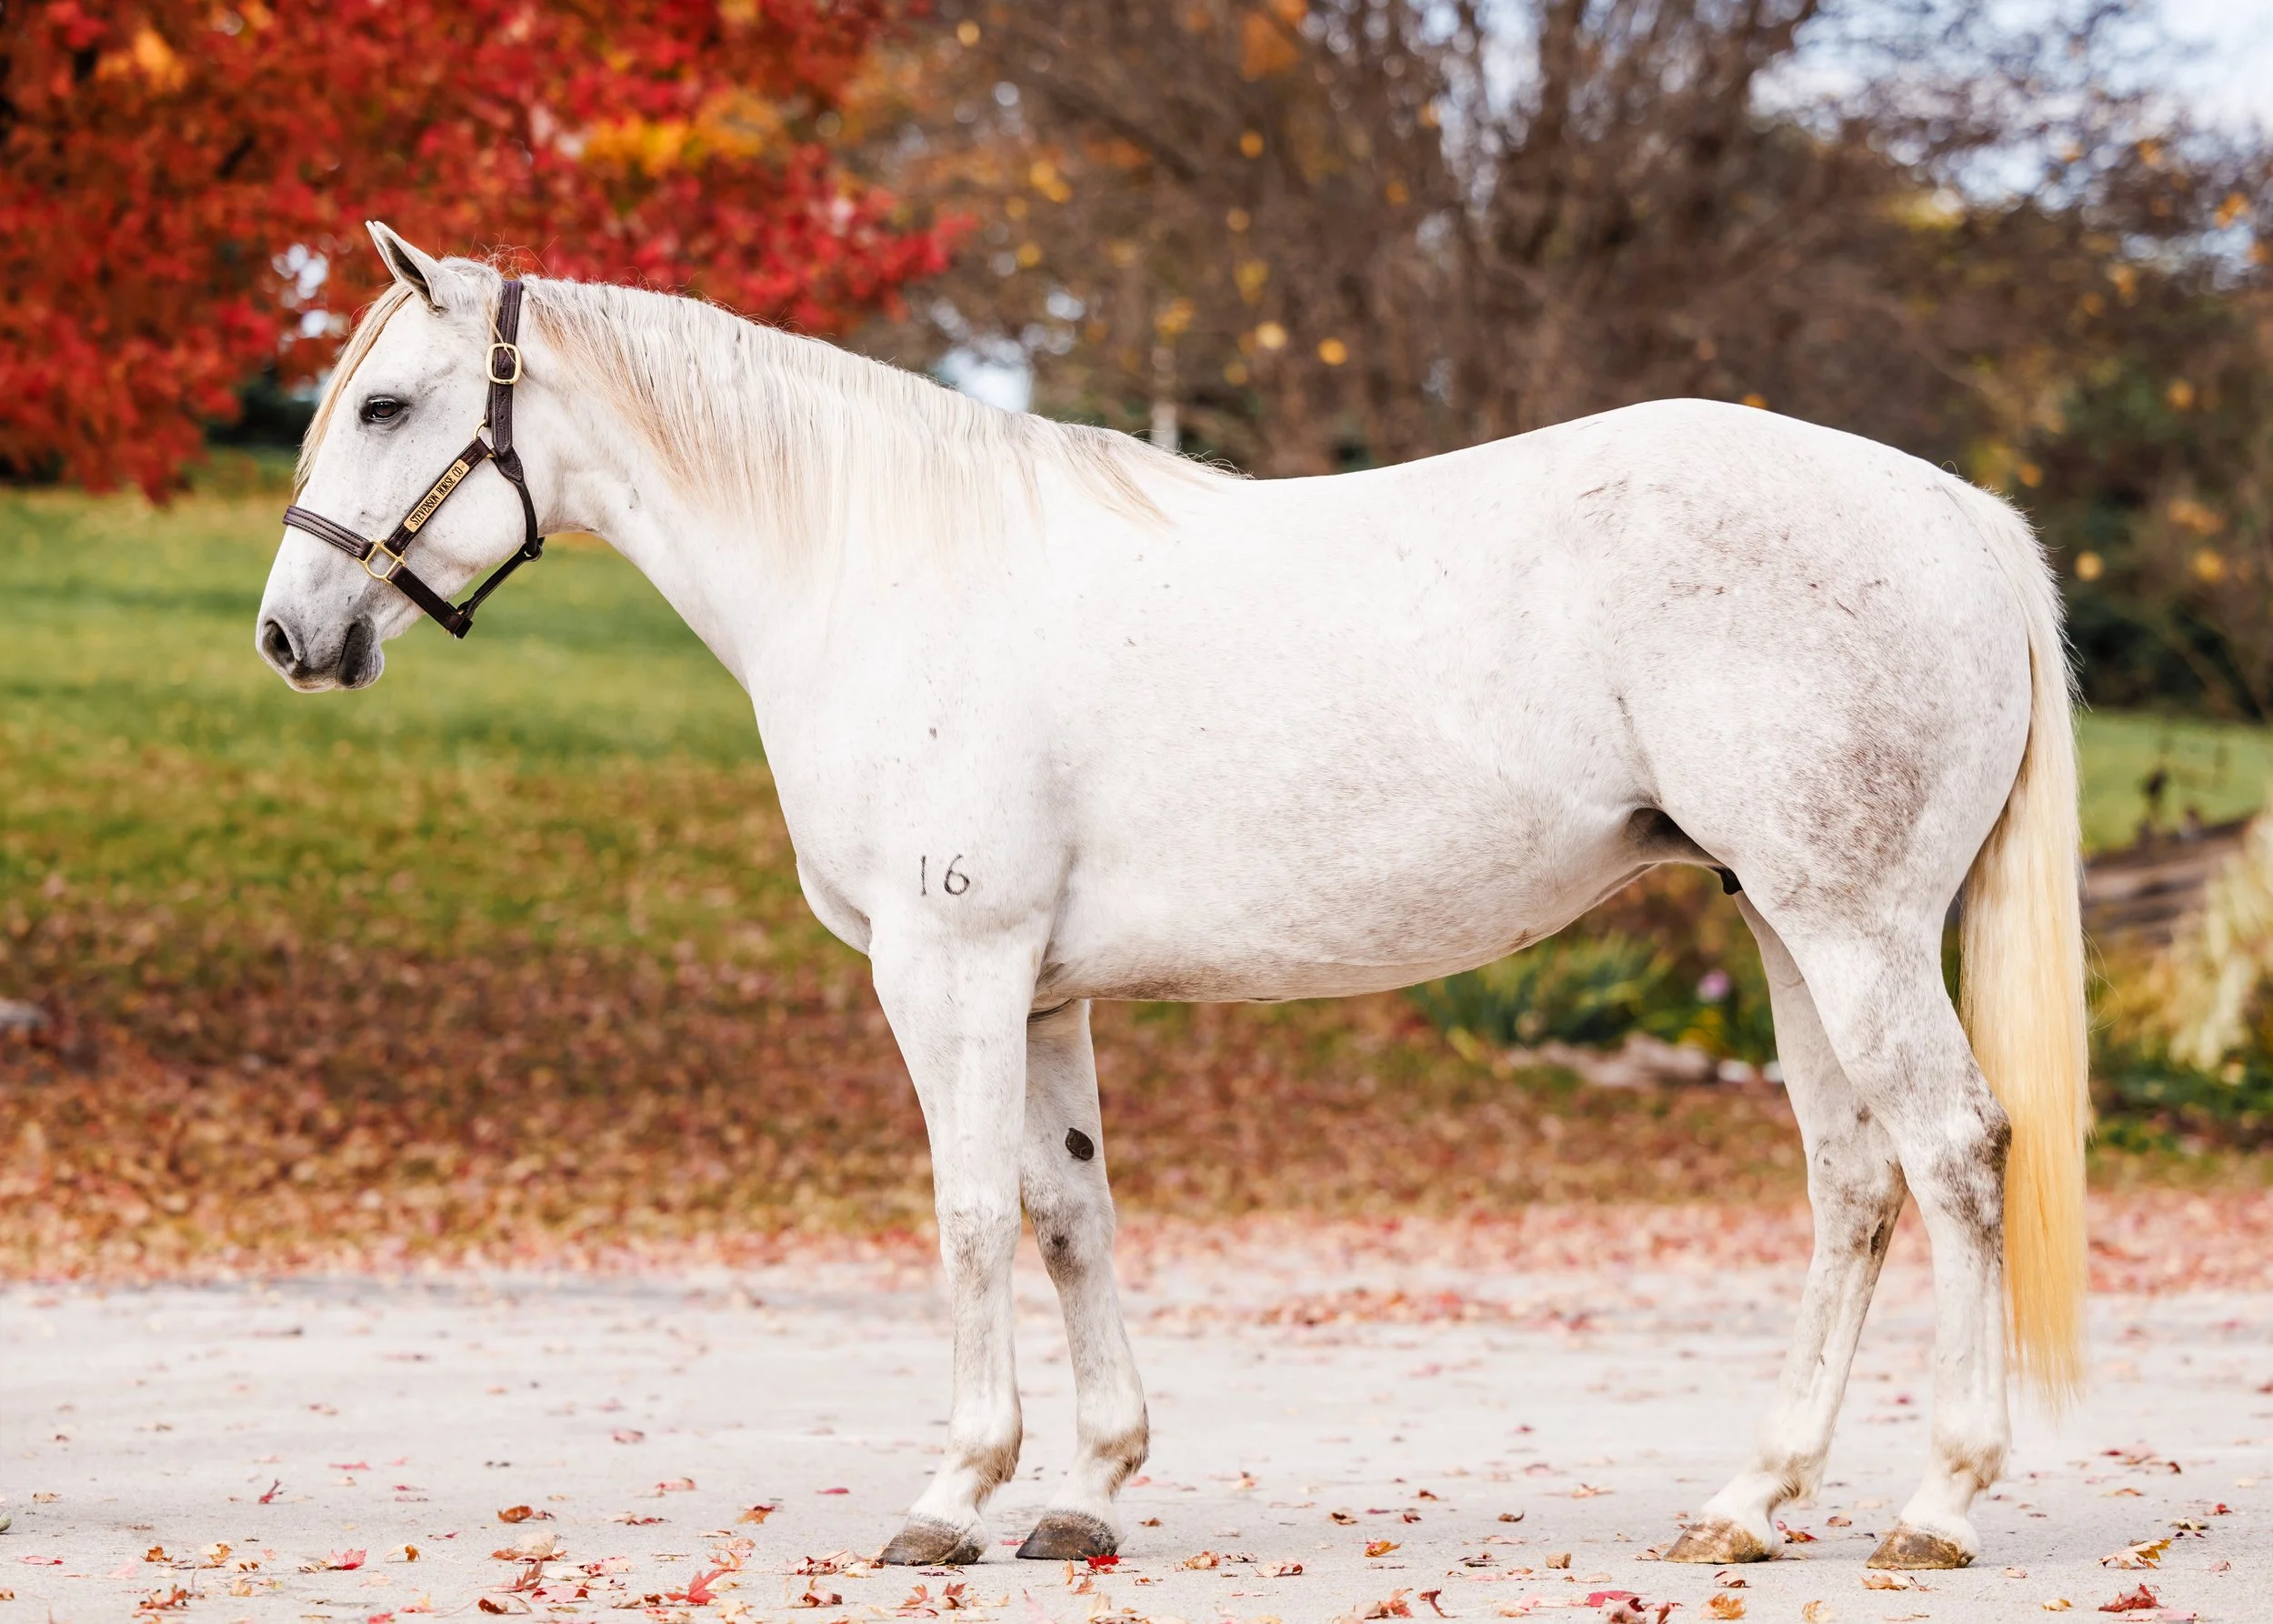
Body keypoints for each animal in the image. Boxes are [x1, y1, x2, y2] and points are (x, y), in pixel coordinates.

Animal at [256, 223, 2088, 1573]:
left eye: (385, 406)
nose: (290, 637)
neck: (881, 571)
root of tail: (1961, 514)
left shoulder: (950, 969)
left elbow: (972, 1214)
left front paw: (952, 1496)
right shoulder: (1043, 987)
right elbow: (1073, 1213)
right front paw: (1085, 1494)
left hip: (1854, 931)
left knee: (1953, 1156)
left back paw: (1936, 1507)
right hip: (1785, 925)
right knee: (1853, 1186)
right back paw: (1751, 1504)